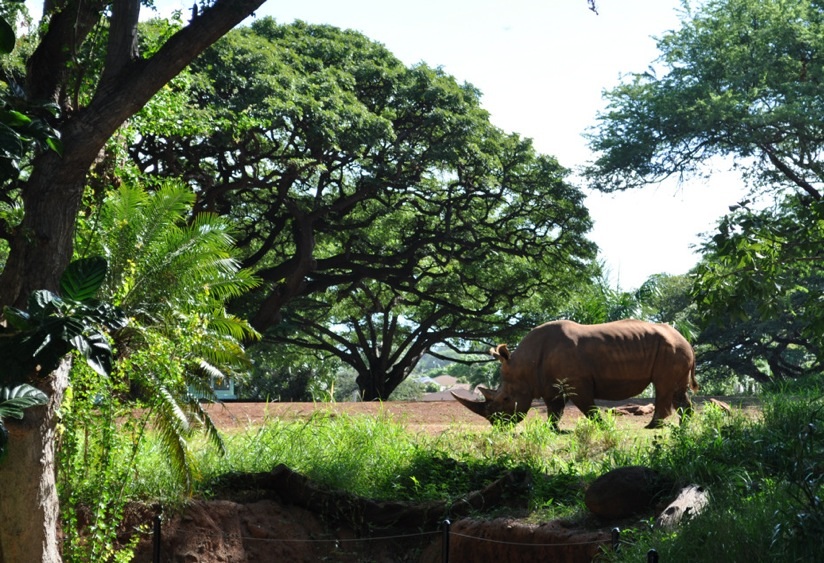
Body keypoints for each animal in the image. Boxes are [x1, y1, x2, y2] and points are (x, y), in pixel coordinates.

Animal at [453, 319, 698, 429]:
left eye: (505, 399)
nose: (498, 425)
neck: (525, 365)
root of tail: (686, 340)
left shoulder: (576, 383)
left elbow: (588, 407)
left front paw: (603, 426)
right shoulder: (550, 384)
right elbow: (554, 409)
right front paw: (551, 429)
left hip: (671, 349)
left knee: (663, 386)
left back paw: (652, 426)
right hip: (674, 349)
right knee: (678, 390)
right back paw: (685, 425)